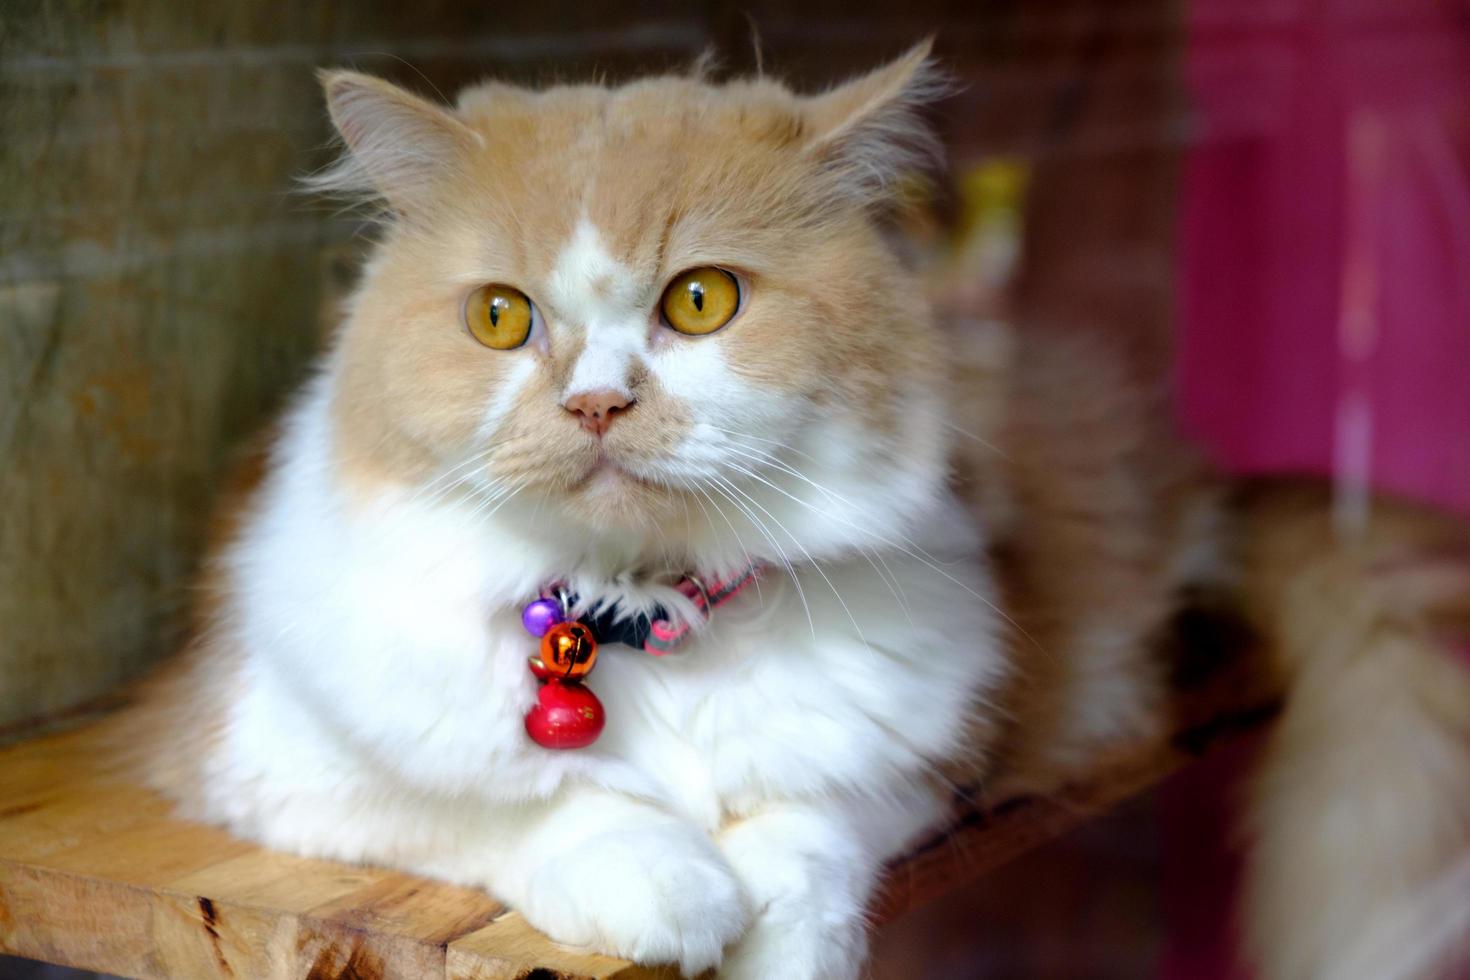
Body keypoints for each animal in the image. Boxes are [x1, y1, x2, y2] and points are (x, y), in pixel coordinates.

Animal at [129, 40, 1470, 980]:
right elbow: (524, 802)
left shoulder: (949, 744)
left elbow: (806, 828)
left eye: (701, 300)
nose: (598, 403)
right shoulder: (261, 749)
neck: (642, 611)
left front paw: (767, 931)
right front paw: (669, 888)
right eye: (502, 317)